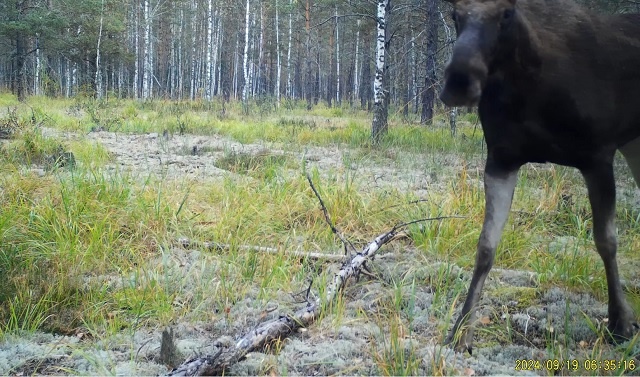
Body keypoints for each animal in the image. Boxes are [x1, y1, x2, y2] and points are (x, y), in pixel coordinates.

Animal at [442, 0, 640, 352]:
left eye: (507, 13)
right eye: (455, 14)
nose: (459, 82)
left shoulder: (599, 155)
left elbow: (606, 242)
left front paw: (620, 323)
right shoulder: (501, 159)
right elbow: (485, 247)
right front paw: (462, 331)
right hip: (634, 143)